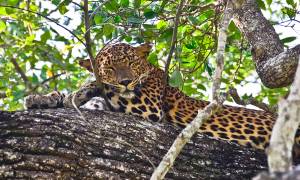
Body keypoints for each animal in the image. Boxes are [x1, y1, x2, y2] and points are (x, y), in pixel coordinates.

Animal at [24, 43, 300, 151]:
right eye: (110, 67)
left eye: (130, 62)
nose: (125, 81)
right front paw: (43, 98)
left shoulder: (149, 106)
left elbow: (101, 88)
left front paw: (82, 89)